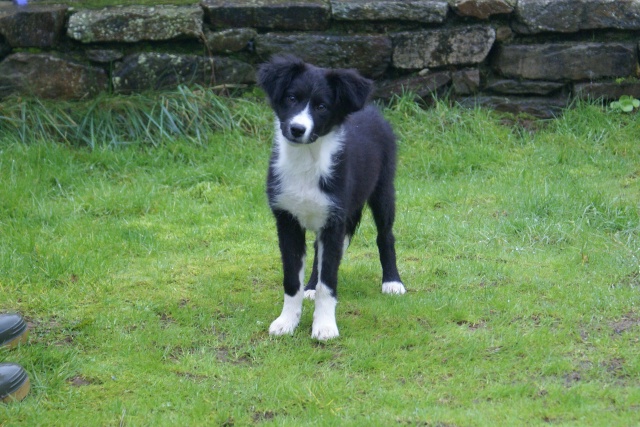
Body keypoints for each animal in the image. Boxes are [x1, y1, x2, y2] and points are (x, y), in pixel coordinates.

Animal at [256, 55, 402, 342]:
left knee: (385, 236)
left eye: (322, 106)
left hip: (383, 190)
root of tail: (371, 109)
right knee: (317, 254)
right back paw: (311, 285)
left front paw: (324, 326)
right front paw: (287, 321)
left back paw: (392, 281)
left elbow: (329, 282)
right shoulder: (287, 221)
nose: (297, 129)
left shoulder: (334, 221)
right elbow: (293, 279)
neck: (306, 159)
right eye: (291, 98)